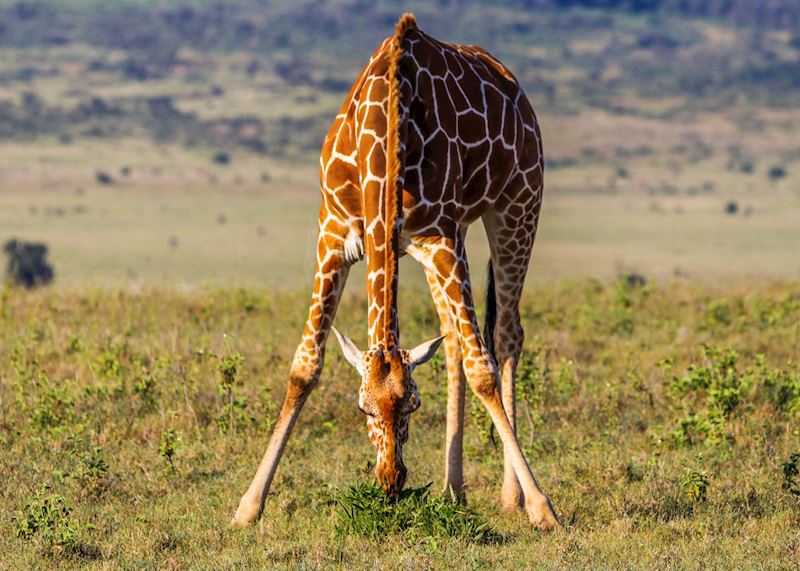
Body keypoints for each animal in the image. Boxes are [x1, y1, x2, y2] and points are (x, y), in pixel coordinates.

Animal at [232, 13, 560, 530]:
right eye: (362, 406)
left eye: (413, 404)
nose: (390, 483)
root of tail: (509, 79)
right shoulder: (334, 235)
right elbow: (304, 367)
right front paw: (248, 505)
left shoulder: (439, 237)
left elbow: (483, 371)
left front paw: (543, 507)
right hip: (454, 239)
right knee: (453, 344)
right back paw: (452, 490)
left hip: (518, 202)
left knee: (505, 336)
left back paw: (512, 496)